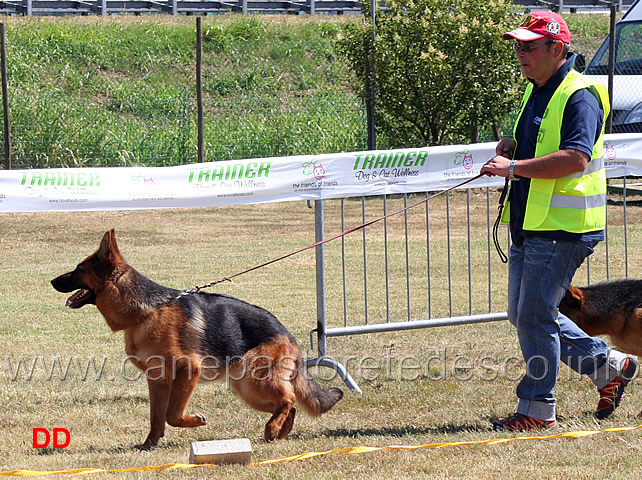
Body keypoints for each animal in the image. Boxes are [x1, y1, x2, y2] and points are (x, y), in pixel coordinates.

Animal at [50, 229, 342, 450]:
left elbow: (171, 415)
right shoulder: (157, 380)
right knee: (289, 403)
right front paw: (149, 445)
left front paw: (195, 421)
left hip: (253, 380)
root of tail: (286, 332)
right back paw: (279, 434)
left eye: (78, 269)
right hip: (246, 387)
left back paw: (273, 428)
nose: (51, 281)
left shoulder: (187, 369)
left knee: (289, 399)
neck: (145, 312)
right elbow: (156, 418)